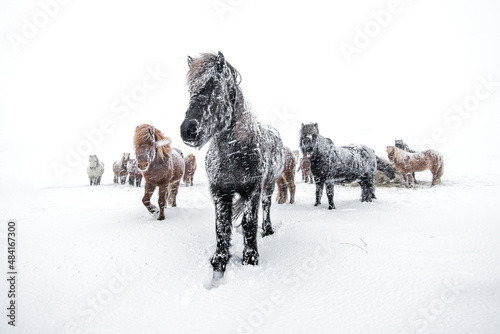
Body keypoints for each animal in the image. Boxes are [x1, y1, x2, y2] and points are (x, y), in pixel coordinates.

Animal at [181, 51, 286, 280]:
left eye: (214, 85)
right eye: (191, 90)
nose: (187, 131)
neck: (235, 152)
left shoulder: (252, 191)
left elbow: (249, 223)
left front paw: (250, 258)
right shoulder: (220, 192)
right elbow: (222, 225)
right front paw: (220, 259)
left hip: (269, 186)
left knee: (266, 207)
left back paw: (268, 229)